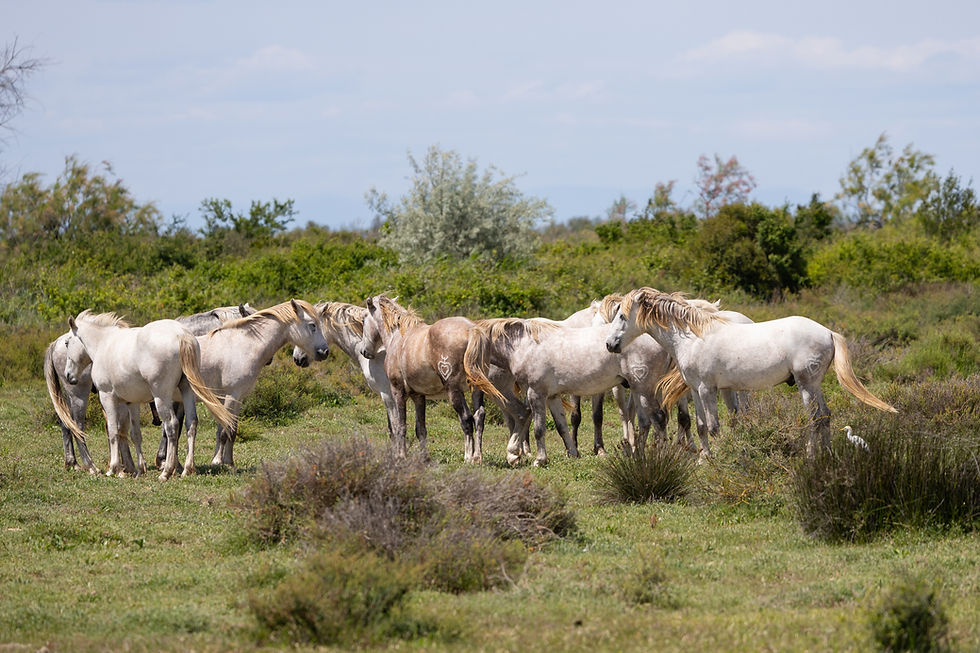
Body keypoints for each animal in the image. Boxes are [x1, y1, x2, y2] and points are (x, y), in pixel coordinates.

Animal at [44, 304, 253, 474]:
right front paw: (164, 461)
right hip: (79, 394)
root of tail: (54, 343)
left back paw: (83, 464)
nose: (69, 375)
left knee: (71, 425)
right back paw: (87, 465)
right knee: (75, 425)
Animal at [356, 294, 502, 463]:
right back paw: (477, 457)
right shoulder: (418, 396)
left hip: (454, 390)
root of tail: (472, 329)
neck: (398, 337)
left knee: (466, 419)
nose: (364, 351)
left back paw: (468, 457)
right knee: (479, 417)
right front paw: (424, 458)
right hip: (476, 388)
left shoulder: (398, 392)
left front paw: (401, 456)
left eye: (364, 319)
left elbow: (400, 426)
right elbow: (420, 429)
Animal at [475, 317, 670, 466]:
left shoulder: (536, 393)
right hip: (639, 390)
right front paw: (573, 453)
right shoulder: (552, 396)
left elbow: (538, 428)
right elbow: (561, 426)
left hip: (644, 389)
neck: (524, 344)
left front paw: (538, 459)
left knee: (658, 419)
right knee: (647, 421)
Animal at [604, 287, 897, 458]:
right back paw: (826, 455)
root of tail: (827, 332)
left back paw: (812, 456)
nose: (610, 344)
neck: (692, 336)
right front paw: (704, 458)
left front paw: (722, 457)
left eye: (622, 316)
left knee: (815, 418)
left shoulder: (707, 389)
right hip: (814, 386)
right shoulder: (697, 390)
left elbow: (714, 426)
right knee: (825, 416)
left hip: (807, 385)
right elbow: (700, 426)